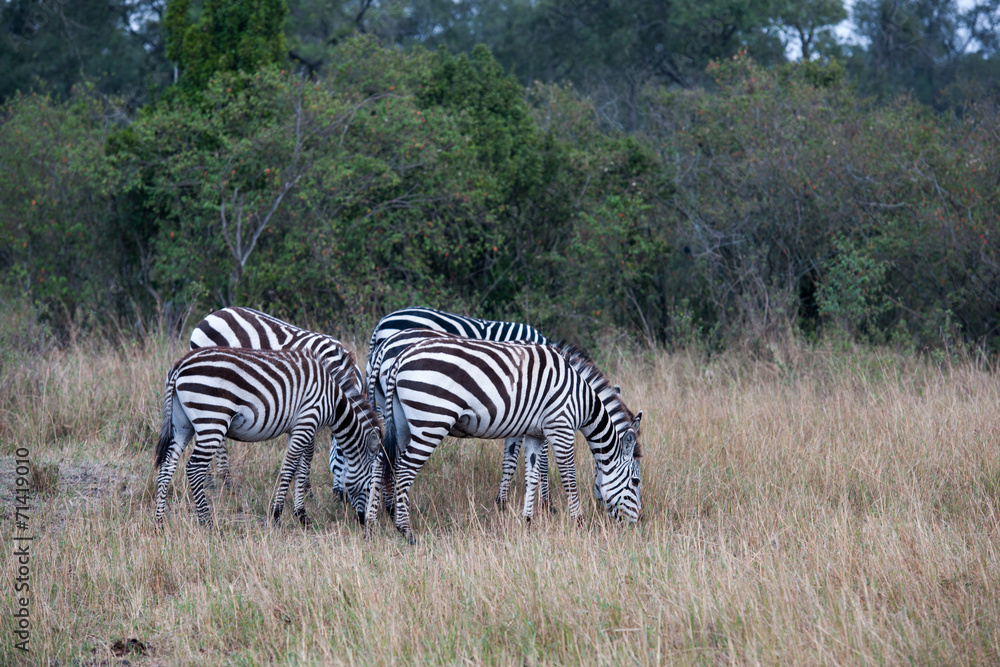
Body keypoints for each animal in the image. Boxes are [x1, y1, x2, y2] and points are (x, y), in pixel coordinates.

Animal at [154, 347, 382, 526]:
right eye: (370, 486)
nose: (366, 523)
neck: (334, 401)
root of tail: (180, 364)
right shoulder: (307, 422)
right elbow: (290, 468)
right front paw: (277, 515)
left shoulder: (297, 428)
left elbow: (301, 468)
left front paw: (301, 515)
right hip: (212, 419)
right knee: (194, 468)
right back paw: (207, 523)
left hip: (183, 425)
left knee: (167, 465)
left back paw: (159, 522)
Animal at [189, 307, 363, 499]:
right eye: (341, 452)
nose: (343, 499)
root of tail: (214, 314)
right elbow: (308, 453)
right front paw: (307, 491)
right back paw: (217, 482)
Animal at [364, 337, 643, 540]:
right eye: (636, 482)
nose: (637, 524)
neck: (582, 400)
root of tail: (402, 356)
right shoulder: (560, 428)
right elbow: (569, 478)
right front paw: (579, 522)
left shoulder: (534, 434)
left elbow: (532, 476)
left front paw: (527, 521)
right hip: (431, 421)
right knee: (403, 469)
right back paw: (405, 531)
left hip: (400, 421)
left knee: (380, 462)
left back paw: (370, 525)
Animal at [366, 307, 553, 507]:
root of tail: (383, 339)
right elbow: (540, 459)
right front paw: (546, 502)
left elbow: (512, 458)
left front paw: (502, 501)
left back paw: (385, 506)